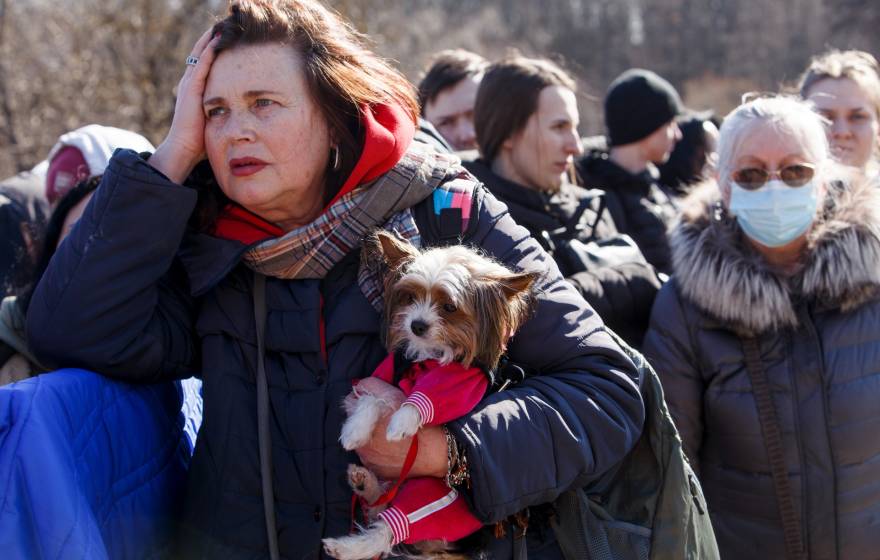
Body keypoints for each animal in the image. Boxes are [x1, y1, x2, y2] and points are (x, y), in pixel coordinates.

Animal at [324, 231, 536, 560]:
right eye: (409, 297)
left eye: (449, 307)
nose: (417, 325)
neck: (425, 361)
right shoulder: (381, 377)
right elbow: (373, 398)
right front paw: (355, 431)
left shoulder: (460, 386)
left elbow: (425, 400)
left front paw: (400, 424)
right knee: (378, 508)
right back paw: (364, 483)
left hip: (434, 497)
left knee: (388, 529)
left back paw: (345, 547)